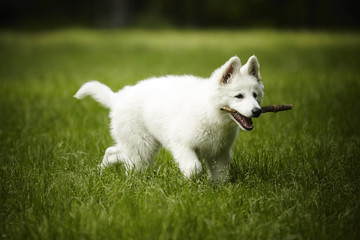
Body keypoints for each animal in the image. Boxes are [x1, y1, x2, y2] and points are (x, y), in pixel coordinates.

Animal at [74, 56, 264, 180]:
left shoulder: (219, 153)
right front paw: (192, 181)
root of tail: (118, 97)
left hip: (141, 144)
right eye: (238, 96)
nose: (257, 111)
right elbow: (194, 168)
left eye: (255, 95)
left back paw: (101, 171)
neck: (210, 111)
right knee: (130, 163)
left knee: (113, 152)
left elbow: (221, 177)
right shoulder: (181, 143)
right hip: (142, 146)